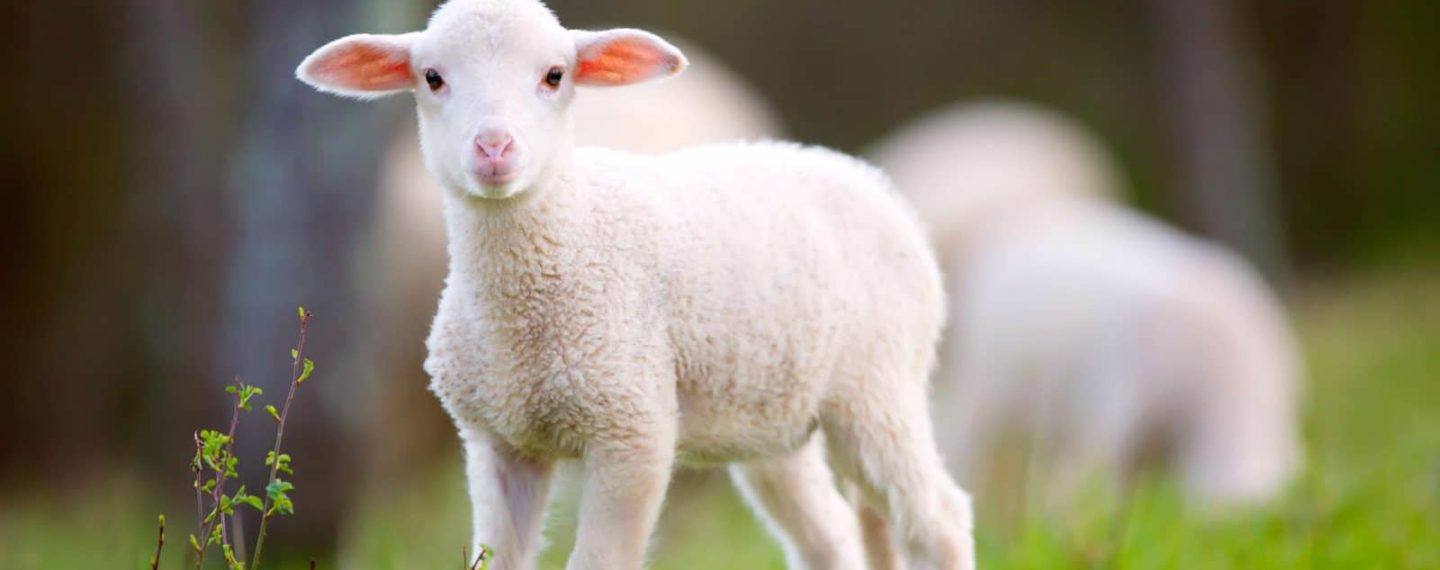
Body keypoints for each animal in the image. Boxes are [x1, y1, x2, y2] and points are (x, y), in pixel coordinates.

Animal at [296, 1, 974, 569]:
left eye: (554, 76)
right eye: (432, 77)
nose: (493, 147)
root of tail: (867, 178)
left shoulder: (632, 430)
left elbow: (598, 561)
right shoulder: (497, 440)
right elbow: (497, 558)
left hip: (879, 385)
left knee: (939, 518)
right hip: (776, 415)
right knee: (830, 534)